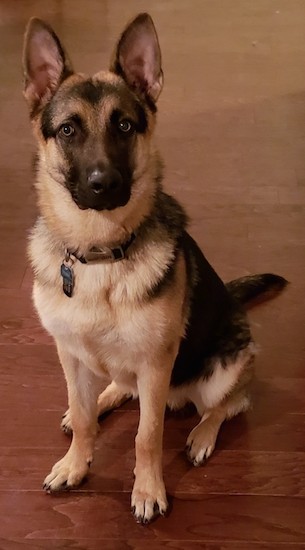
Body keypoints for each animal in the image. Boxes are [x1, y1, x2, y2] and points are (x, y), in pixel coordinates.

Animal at [23, 12, 284, 528]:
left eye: (125, 126)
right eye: (67, 131)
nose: (104, 184)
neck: (101, 252)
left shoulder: (155, 364)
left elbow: (148, 435)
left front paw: (147, 491)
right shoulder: (69, 354)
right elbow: (83, 417)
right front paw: (76, 462)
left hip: (224, 368)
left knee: (228, 403)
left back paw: (202, 434)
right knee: (117, 389)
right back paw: (104, 399)